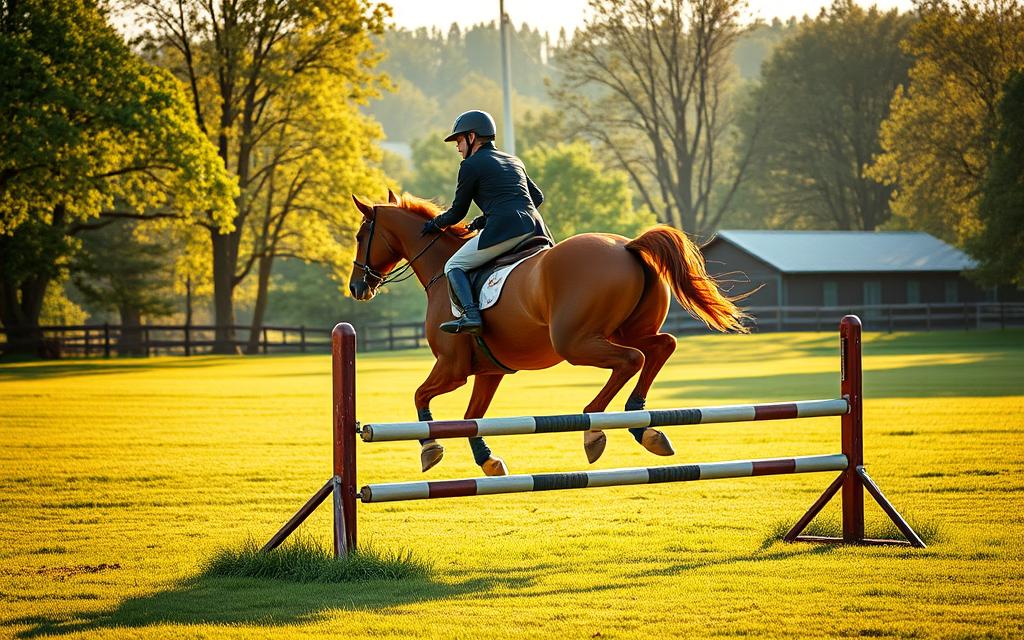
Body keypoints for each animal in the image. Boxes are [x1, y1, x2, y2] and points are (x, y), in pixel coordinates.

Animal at [348, 188, 749, 475]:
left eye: (360, 235)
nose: (357, 287)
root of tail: (627, 247)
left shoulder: (452, 367)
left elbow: (420, 396)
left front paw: (430, 448)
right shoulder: (489, 371)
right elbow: (470, 418)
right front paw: (487, 460)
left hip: (576, 343)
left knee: (631, 360)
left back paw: (595, 427)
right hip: (621, 332)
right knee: (662, 346)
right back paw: (641, 425)